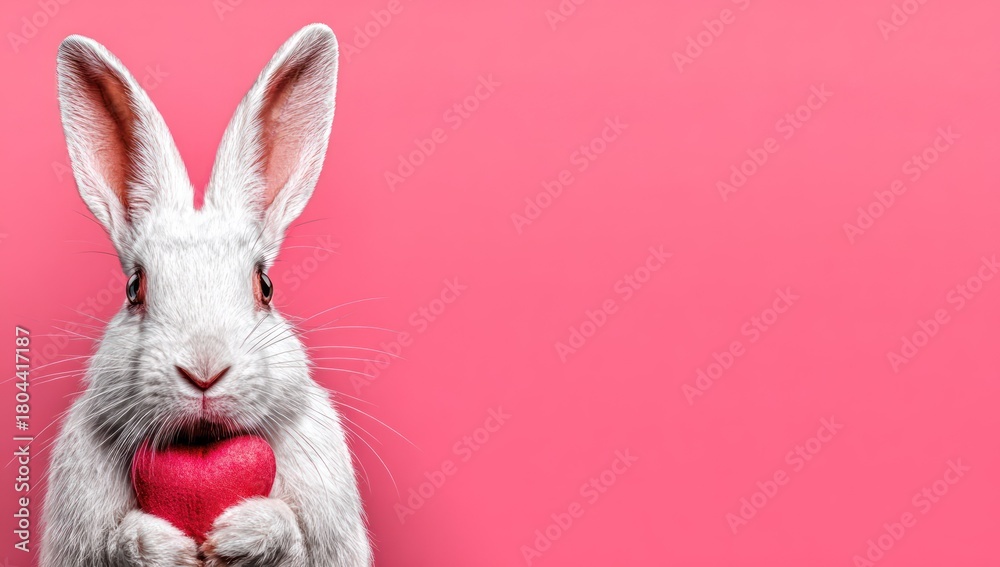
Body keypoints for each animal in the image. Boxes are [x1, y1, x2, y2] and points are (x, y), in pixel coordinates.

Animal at [40, 24, 372, 567]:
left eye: (265, 286)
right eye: (134, 288)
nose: (203, 373)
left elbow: (293, 539)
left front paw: (243, 533)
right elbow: (116, 543)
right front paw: (157, 542)